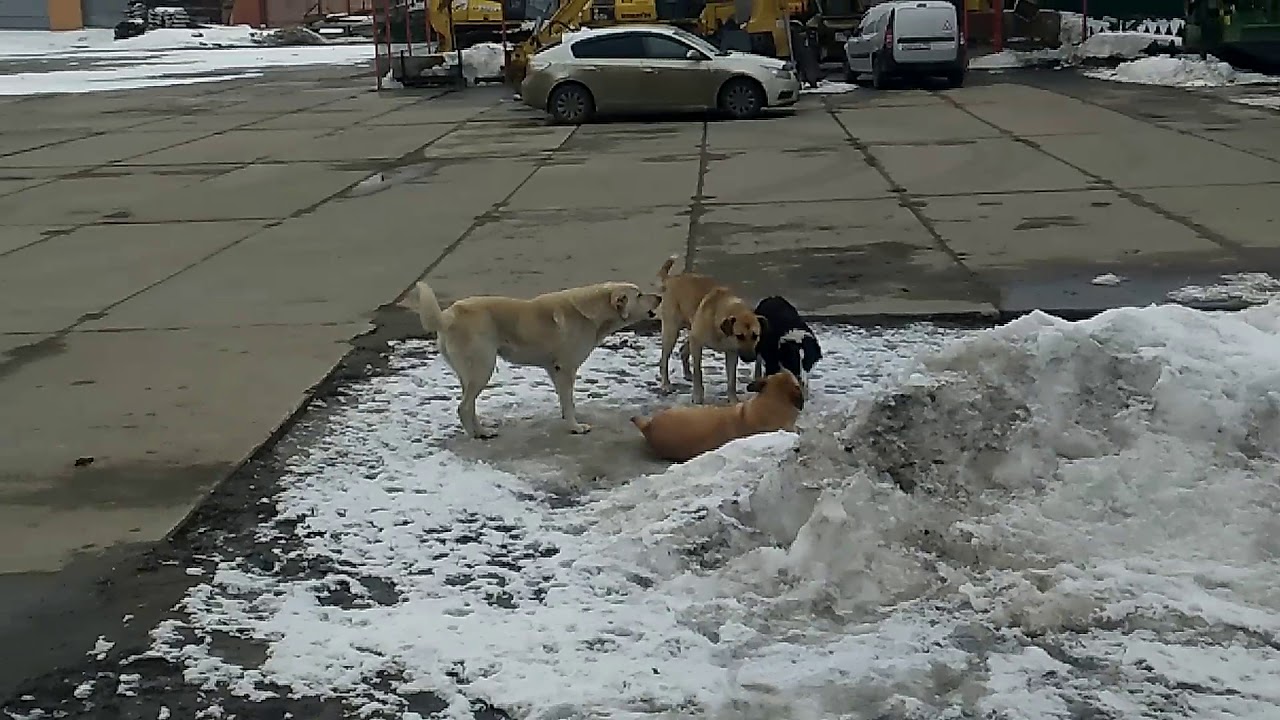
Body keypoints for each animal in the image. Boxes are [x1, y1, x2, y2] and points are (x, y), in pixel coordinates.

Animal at [396, 279, 660, 438]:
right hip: (483, 368)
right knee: (463, 406)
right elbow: (569, 403)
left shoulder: (555, 370)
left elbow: (564, 402)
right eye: (640, 295)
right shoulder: (566, 369)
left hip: (470, 372)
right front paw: (575, 427)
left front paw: (568, 422)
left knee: (469, 405)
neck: (592, 312)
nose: (659, 296)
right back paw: (477, 435)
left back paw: (482, 429)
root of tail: (448, 314)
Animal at [660, 254, 757, 404]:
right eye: (740, 335)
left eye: (755, 336)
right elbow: (698, 372)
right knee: (664, 360)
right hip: (672, 331)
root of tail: (672, 278)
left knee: (683, 349)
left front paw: (733, 399)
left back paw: (687, 373)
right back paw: (666, 384)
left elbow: (732, 380)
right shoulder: (697, 342)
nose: (752, 358)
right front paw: (697, 395)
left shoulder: (732, 352)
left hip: (690, 328)